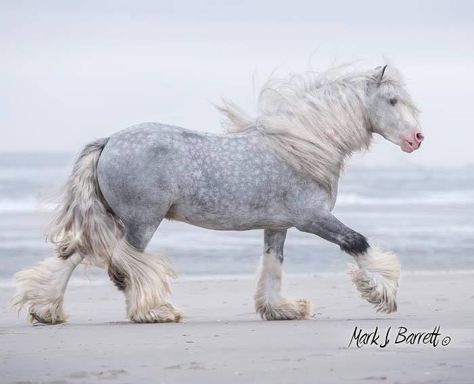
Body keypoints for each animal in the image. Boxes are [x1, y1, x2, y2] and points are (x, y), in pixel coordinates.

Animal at [13, 64, 422, 322]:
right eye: (392, 101)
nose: (417, 139)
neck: (300, 146)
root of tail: (109, 141)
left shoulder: (278, 225)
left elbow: (273, 266)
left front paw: (281, 309)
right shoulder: (312, 218)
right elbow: (357, 242)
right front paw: (382, 293)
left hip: (113, 219)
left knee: (74, 254)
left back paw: (46, 311)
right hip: (141, 222)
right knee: (127, 263)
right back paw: (152, 313)